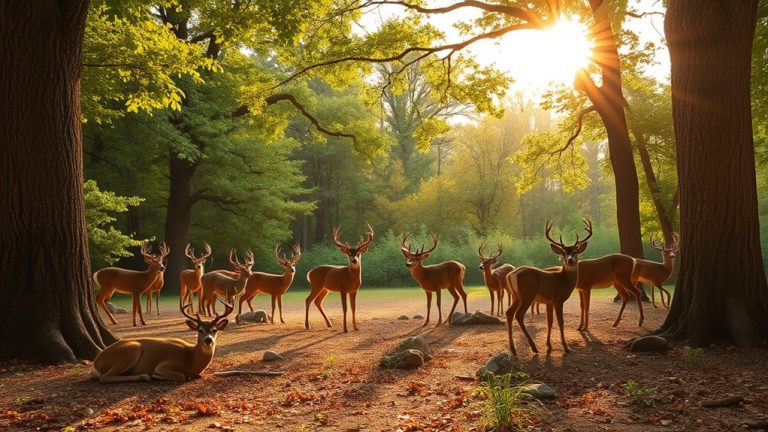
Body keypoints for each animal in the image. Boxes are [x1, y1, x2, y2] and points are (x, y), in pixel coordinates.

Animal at [91, 301, 233, 383]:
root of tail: (97, 361)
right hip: (131, 349)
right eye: (200, 330)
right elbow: (182, 376)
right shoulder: (165, 365)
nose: (208, 340)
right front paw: (155, 375)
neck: (191, 359)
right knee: (104, 377)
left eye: (214, 330)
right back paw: (145, 376)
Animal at [506, 219, 592, 355]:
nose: (570, 260)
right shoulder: (558, 300)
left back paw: (513, 349)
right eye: (563, 253)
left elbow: (549, 322)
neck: (564, 280)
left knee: (509, 313)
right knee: (518, 315)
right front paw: (566, 347)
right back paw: (533, 347)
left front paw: (549, 346)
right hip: (527, 295)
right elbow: (561, 322)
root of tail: (511, 274)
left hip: (516, 296)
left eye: (575, 252)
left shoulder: (549, 302)